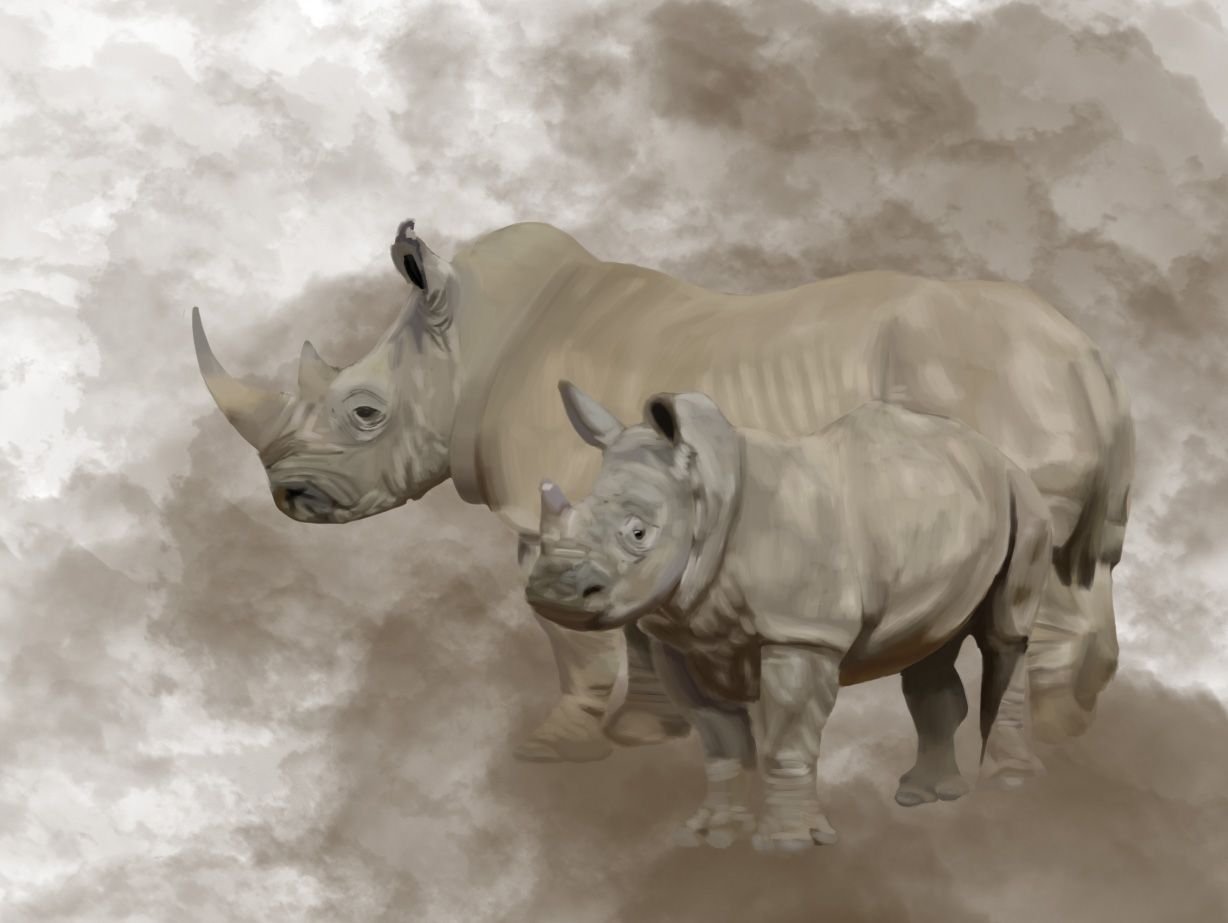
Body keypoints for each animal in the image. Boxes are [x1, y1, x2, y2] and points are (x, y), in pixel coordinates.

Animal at [192, 218, 1133, 763]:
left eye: (363, 411)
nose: (290, 495)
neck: (468, 345)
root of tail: (1088, 355)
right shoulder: (628, 513)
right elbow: (635, 629)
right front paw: (649, 734)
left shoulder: (551, 509)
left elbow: (574, 637)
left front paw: (555, 747)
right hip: (1028, 395)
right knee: (1079, 567)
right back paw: (1074, 736)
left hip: (996, 392)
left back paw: (1041, 760)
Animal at [525, 384, 1053, 851]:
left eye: (639, 533)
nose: (552, 592)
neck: (707, 497)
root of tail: (992, 450)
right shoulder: (679, 638)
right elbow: (720, 741)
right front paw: (712, 835)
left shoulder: (801, 632)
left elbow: (787, 741)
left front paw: (790, 845)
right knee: (927, 647)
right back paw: (922, 795)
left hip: (1023, 496)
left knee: (1006, 636)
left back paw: (1007, 784)